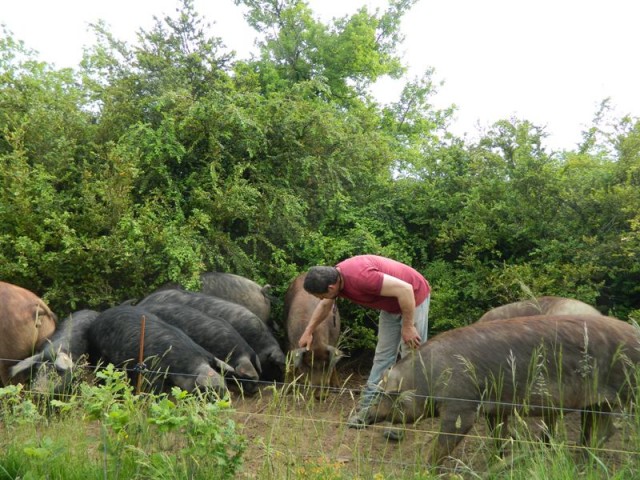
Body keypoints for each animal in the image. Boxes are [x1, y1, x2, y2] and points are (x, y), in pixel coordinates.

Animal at [86, 306, 231, 396]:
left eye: (224, 383)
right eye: (207, 389)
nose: (227, 399)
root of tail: (98, 319)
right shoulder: (152, 371)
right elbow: (154, 389)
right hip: (99, 354)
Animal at [362, 316, 640, 464]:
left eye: (385, 394)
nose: (366, 416)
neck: (425, 377)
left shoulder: (461, 404)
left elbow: (448, 437)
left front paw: (428, 466)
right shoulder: (495, 408)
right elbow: (498, 434)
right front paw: (496, 460)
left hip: (624, 391)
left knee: (606, 430)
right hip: (597, 402)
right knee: (601, 428)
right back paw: (579, 457)